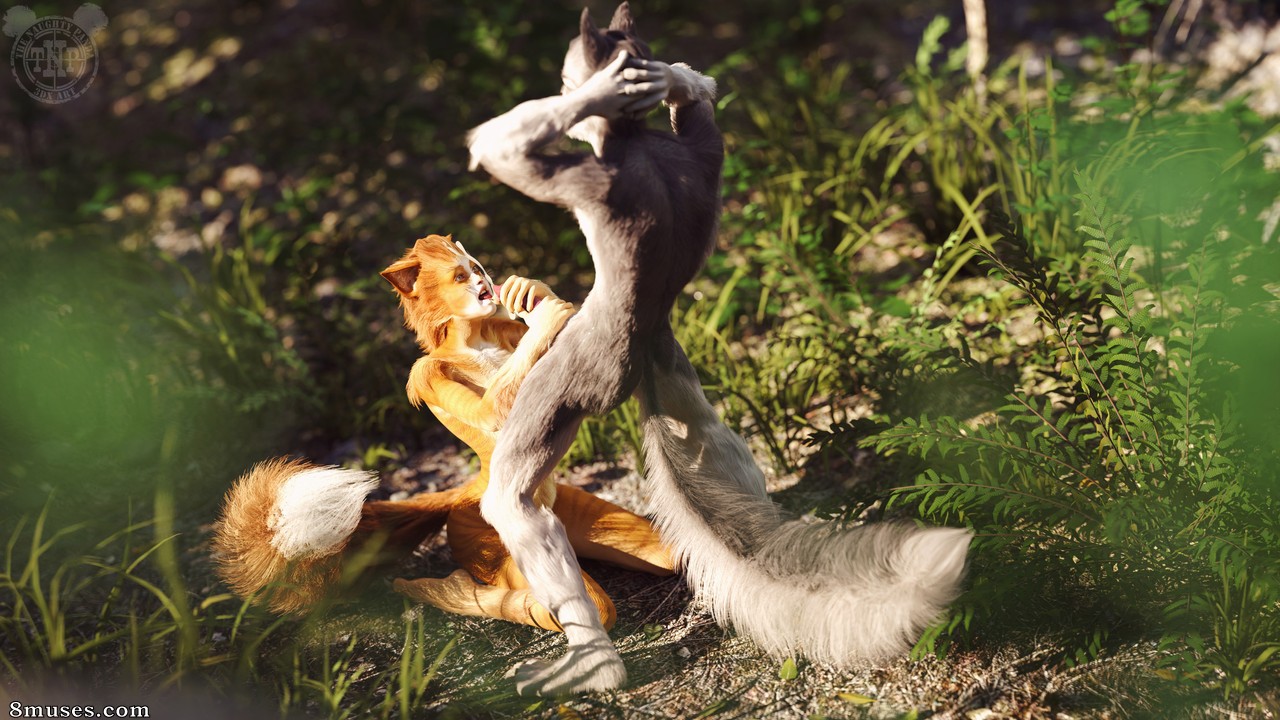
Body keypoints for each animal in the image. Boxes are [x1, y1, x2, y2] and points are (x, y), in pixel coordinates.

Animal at [466, 2, 971, 696]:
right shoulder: (701, 152)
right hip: (690, 396)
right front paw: (673, 77)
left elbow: (502, 148)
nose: (569, 88)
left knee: (513, 499)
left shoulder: (583, 177)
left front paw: (610, 91)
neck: (633, 142)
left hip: (565, 383)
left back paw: (594, 667)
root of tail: (648, 340)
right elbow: (703, 111)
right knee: (726, 455)